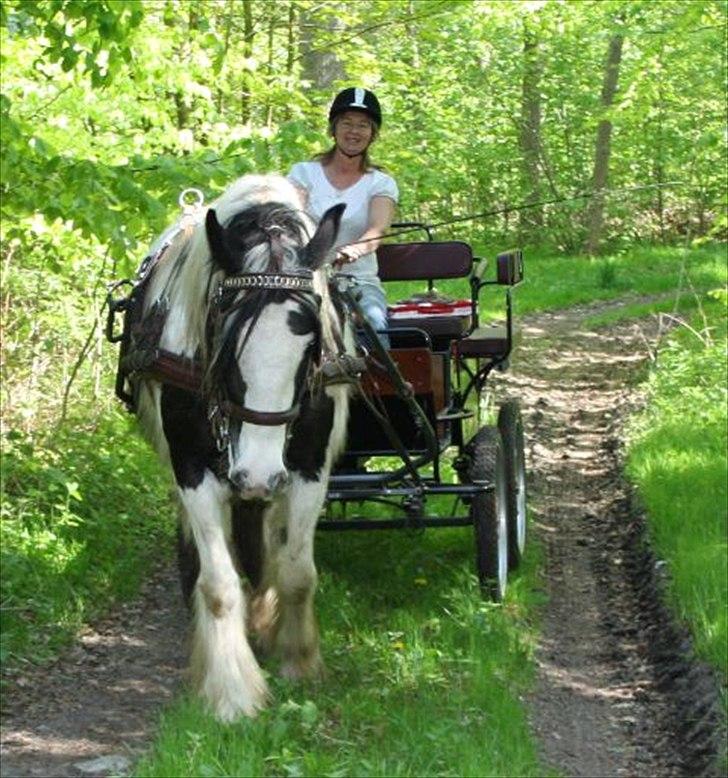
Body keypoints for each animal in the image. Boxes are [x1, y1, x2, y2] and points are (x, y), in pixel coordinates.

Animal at [136, 173, 356, 720]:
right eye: (227, 341)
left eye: (312, 346)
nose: (257, 475)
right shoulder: (193, 467)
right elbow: (218, 584)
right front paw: (231, 690)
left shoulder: (309, 466)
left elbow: (298, 571)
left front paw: (299, 661)